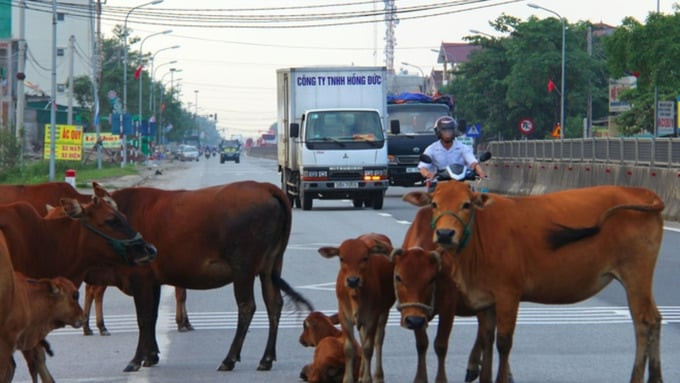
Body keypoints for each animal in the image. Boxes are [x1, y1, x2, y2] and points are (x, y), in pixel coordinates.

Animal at [108, 182, 314, 372]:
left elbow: (143, 318)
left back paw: (229, 359)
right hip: (271, 265)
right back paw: (266, 359)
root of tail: (264, 186)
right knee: (274, 304)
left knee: (247, 307)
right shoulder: (153, 281)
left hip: (243, 269)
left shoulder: (140, 277)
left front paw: (136, 360)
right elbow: (152, 316)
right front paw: (151, 355)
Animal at [318, 232, 394, 383]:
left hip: (384, 312)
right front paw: (348, 379)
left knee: (378, 340)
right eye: (342, 258)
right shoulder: (344, 316)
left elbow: (368, 348)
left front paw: (367, 378)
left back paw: (378, 376)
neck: (355, 296)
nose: (353, 280)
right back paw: (360, 374)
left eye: (365, 258)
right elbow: (349, 348)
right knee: (363, 338)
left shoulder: (372, 317)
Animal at [404, 183, 664, 383]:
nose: (445, 234)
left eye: (466, 204)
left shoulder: (508, 294)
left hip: (635, 274)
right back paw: (656, 377)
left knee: (643, 322)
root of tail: (640, 192)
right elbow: (487, 338)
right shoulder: (486, 300)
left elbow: (503, 342)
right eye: (434, 204)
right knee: (655, 319)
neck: (479, 236)